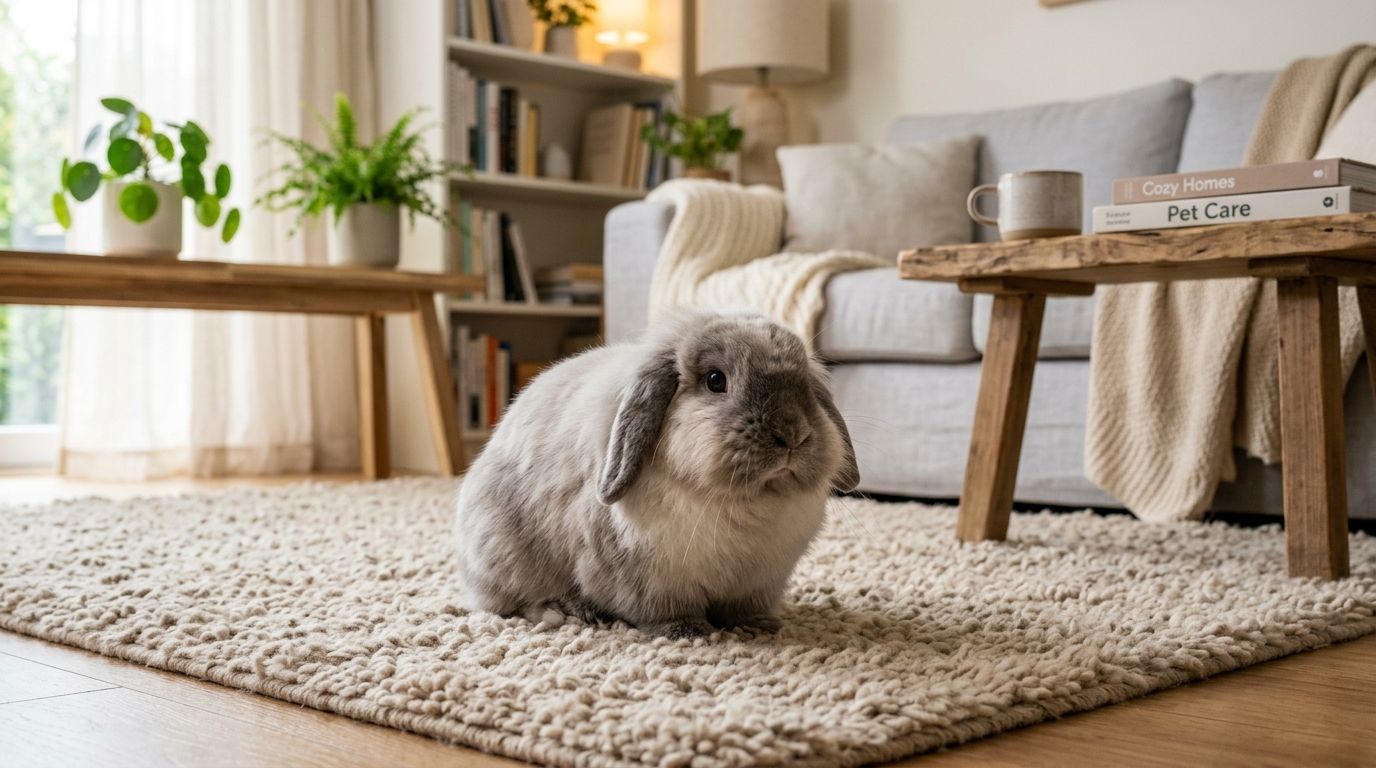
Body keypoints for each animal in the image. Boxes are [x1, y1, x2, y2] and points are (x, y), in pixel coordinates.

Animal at [454, 310, 859, 638]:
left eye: (805, 385)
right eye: (716, 380)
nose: (793, 434)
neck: (745, 503)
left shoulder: (758, 582)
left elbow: (743, 609)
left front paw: (757, 626)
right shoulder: (648, 579)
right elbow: (661, 609)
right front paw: (687, 632)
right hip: (509, 559)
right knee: (515, 602)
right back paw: (570, 611)